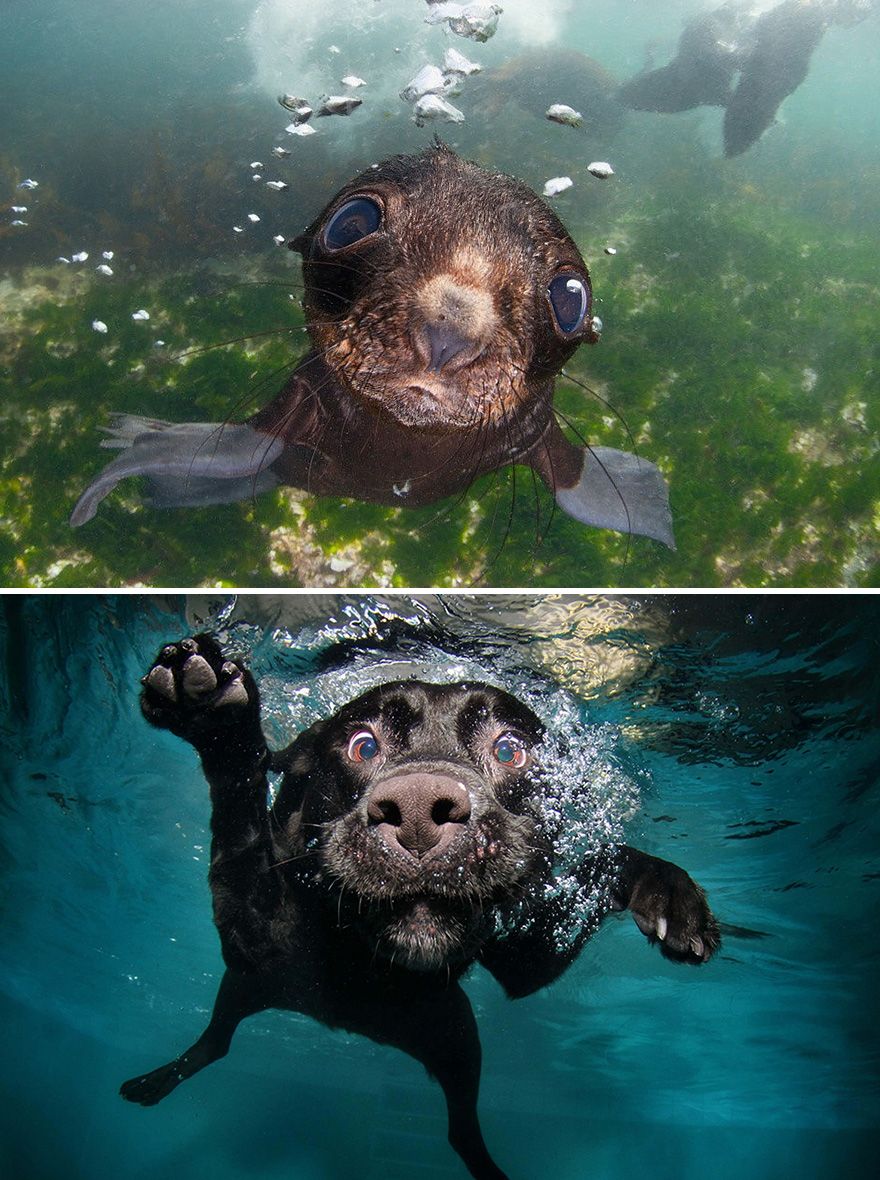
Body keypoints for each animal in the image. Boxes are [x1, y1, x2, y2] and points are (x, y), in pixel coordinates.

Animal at [119, 637, 717, 1180]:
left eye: (509, 750)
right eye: (363, 746)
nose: (416, 811)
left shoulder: (527, 958)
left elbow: (604, 863)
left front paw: (668, 891)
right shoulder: (254, 933)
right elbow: (240, 822)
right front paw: (216, 714)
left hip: (457, 1040)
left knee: (460, 1131)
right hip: (247, 988)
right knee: (216, 1043)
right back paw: (155, 1081)